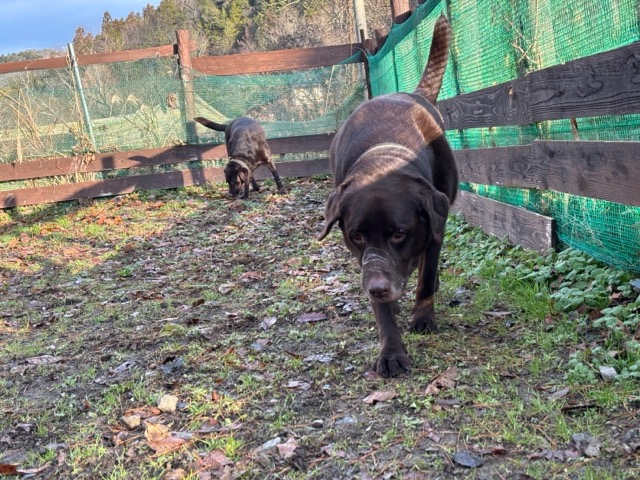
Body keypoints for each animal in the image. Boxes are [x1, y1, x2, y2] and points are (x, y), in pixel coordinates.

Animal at [318, 15, 458, 378]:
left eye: (399, 233)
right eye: (356, 235)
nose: (378, 288)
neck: (384, 158)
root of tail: (412, 92)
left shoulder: (433, 228)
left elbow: (426, 277)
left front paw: (422, 318)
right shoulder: (366, 260)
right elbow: (382, 307)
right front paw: (391, 351)